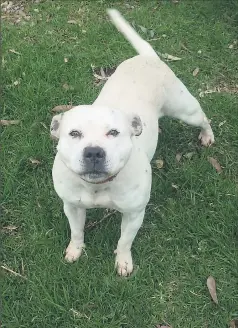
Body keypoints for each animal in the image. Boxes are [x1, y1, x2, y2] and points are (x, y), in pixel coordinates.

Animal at [51, 9, 215, 276]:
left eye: (114, 132)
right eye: (74, 133)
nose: (94, 152)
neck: (98, 187)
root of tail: (147, 57)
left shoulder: (134, 214)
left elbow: (124, 241)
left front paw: (123, 262)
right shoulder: (72, 206)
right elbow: (76, 231)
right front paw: (75, 251)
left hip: (185, 110)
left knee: (203, 118)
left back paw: (207, 135)